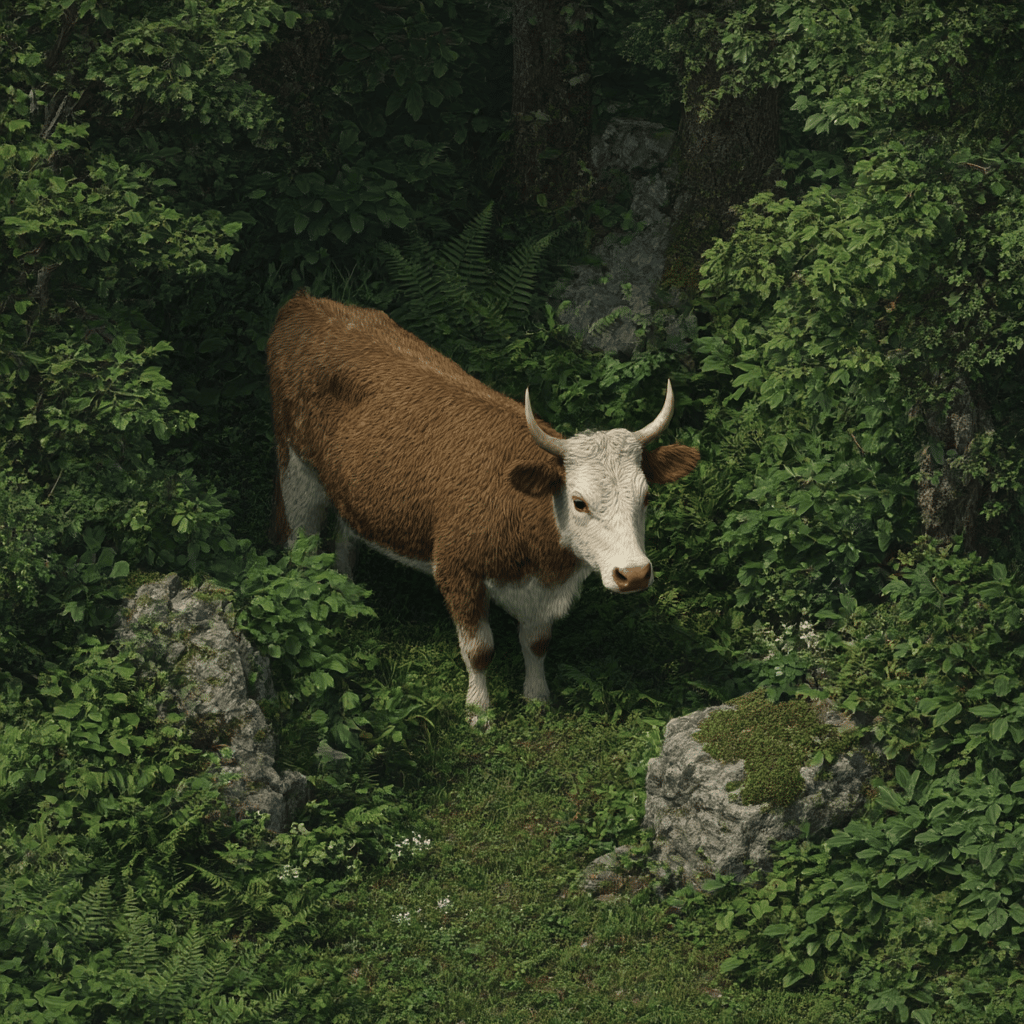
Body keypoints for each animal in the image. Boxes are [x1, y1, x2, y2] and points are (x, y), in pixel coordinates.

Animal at [267, 291, 700, 723]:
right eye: (579, 502)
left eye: (646, 496)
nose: (634, 574)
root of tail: (305, 304)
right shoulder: (456, 569)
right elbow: (479, 650)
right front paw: (479, 712)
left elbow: (537, 642)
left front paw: (537, 698)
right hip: (295, 464)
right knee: (298, 541)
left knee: (346, 534)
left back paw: (349, 592)